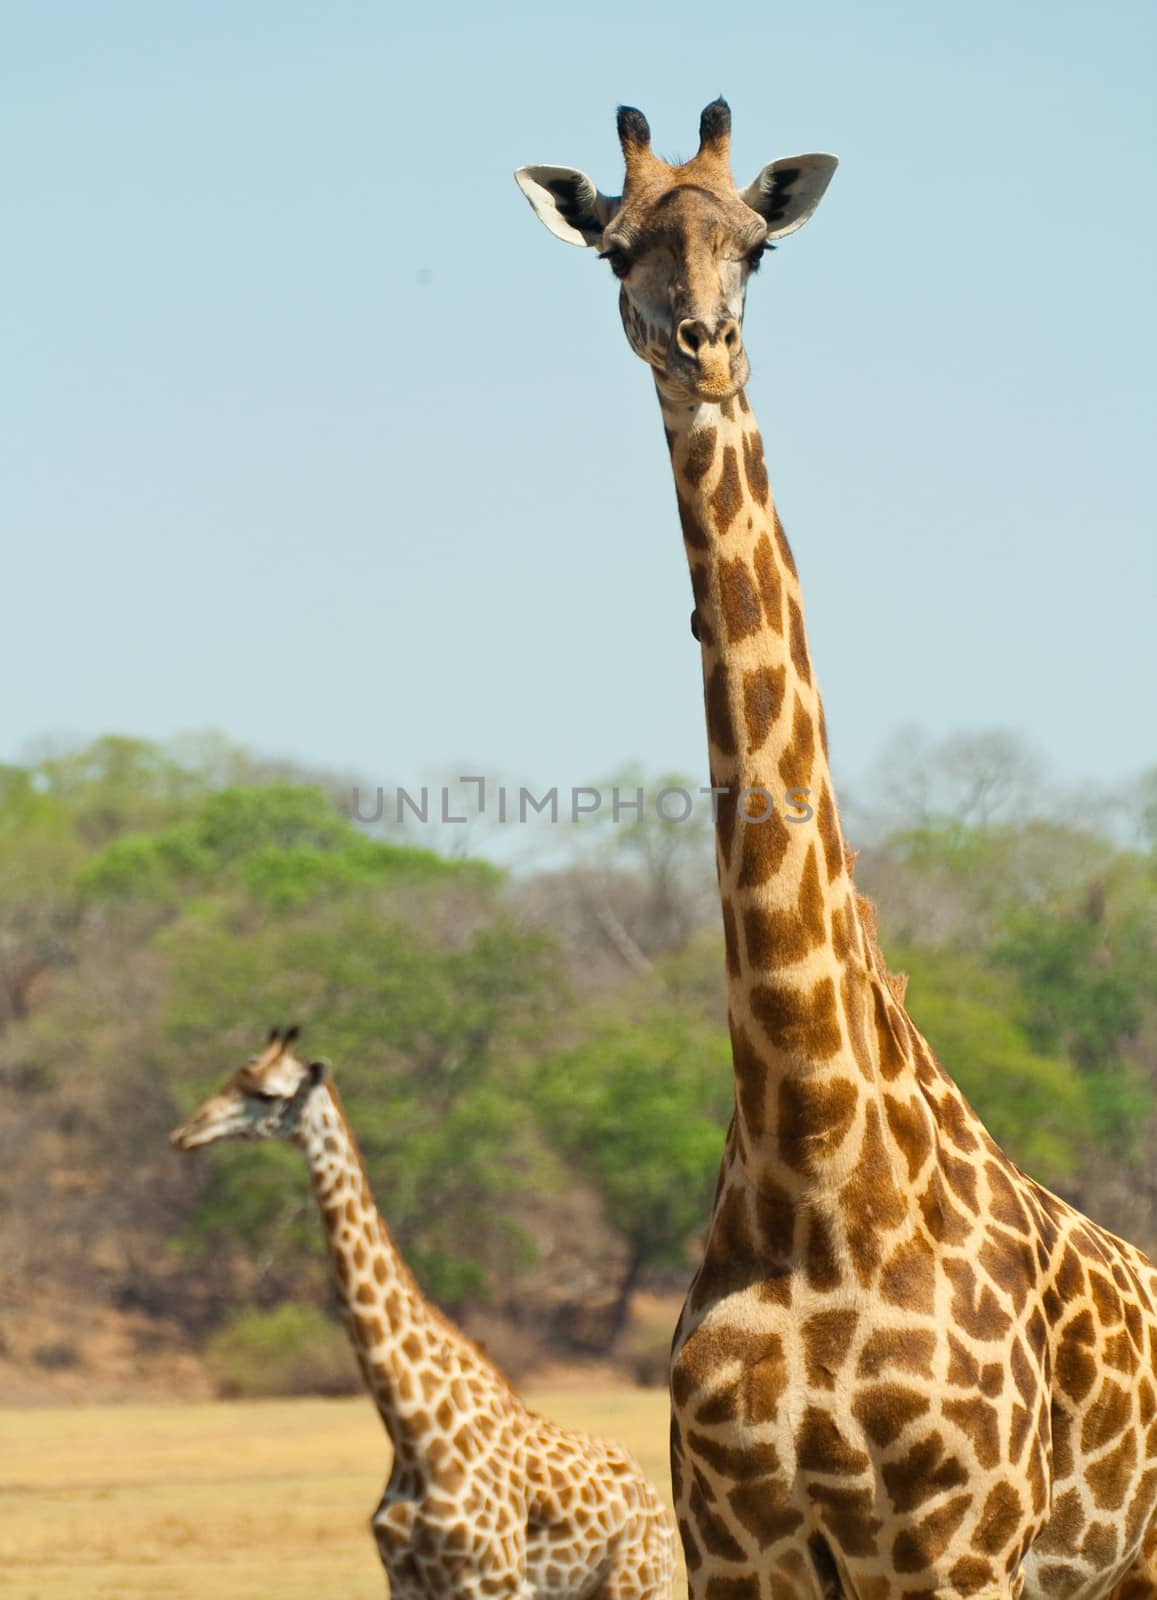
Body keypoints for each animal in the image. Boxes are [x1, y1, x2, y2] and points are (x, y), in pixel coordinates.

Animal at [171, 1030, 678, 1593]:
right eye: (235, 1078)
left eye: (268, 1094)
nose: (186, 1132)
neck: (413, 1429)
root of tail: (655, 1504)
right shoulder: (406, 1579)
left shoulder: (489, 1582)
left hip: (639, 1584)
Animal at [518, 96, 1157, 1600]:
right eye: (617, 248)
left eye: (753, 244)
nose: (703, 346)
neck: (816, 1168)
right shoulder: (735, 1545)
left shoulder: (958, 1547)